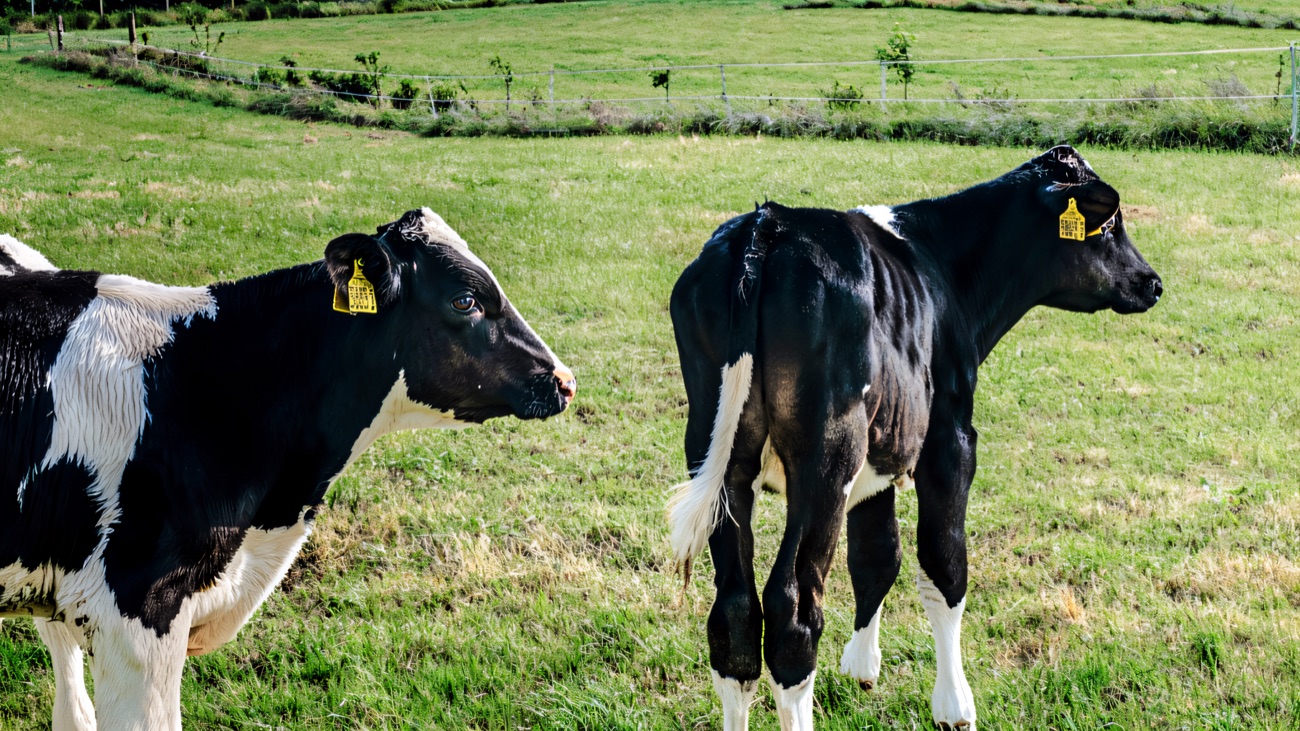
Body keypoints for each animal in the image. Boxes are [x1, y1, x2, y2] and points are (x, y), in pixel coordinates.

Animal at [668, 146, 1162, 730]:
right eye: (1109, 224)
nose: (1153, 282)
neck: (943, 269)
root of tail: (767, 225)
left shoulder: (882, 451)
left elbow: (877, 554)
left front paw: (862, 666)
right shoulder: (950, 438)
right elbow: (945, 567)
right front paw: (954, 704)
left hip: (719, 455)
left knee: (735, 614)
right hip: (827, 457)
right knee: (792, 612)